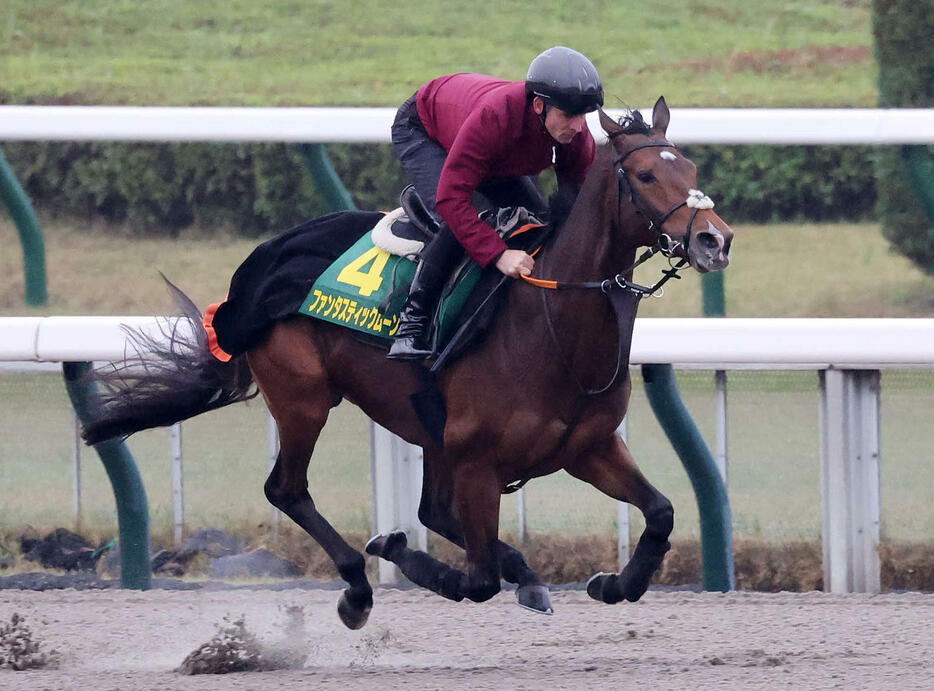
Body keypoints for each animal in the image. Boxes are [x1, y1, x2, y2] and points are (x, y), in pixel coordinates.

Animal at [80, 94, 736, 628]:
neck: (551, 321)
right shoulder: (477, 458)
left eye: (691, 169)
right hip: (304, 396)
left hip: (427, 427)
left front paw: (614, 583)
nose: (716, 239)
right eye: (646, 174)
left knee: (432, 511)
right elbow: (477, 578)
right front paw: (395, 552)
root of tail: (259, 266)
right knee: (288, 490)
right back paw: (357, 587)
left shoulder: (587, 447)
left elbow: (661, 512)